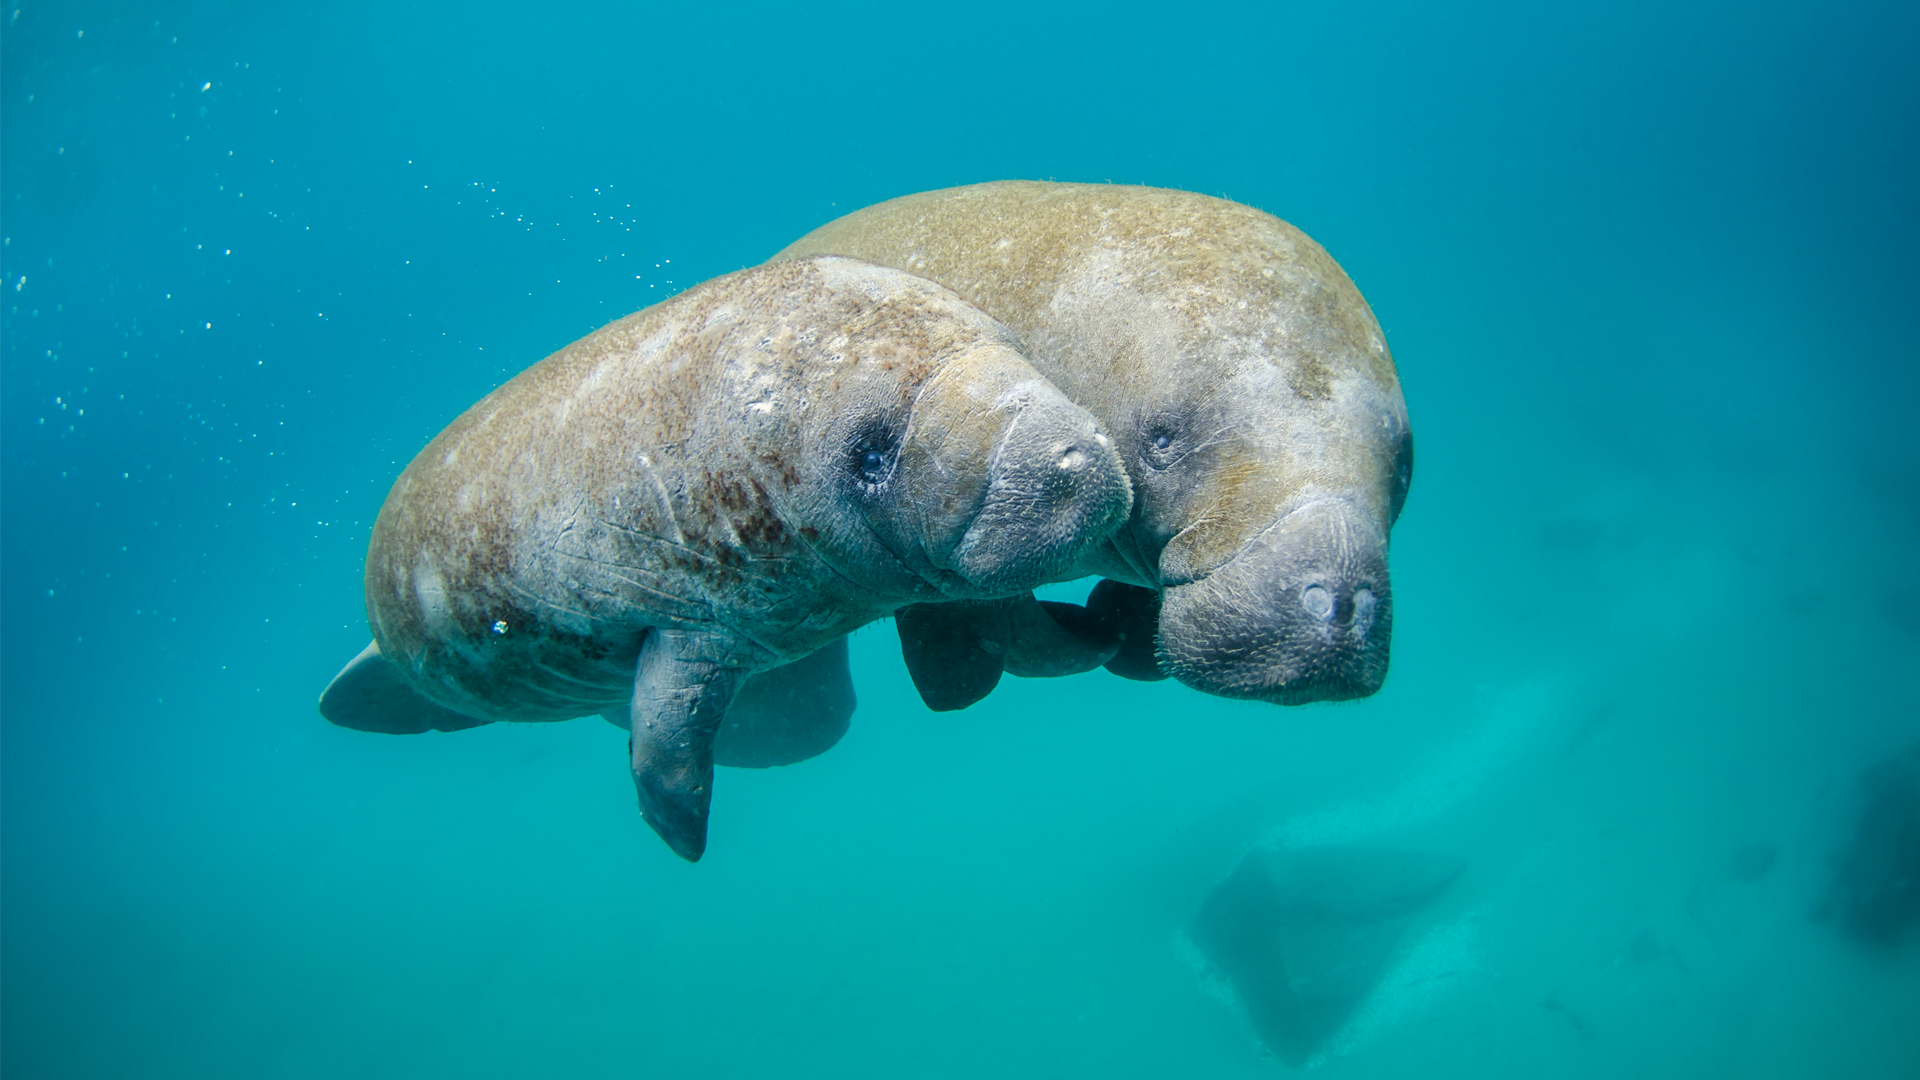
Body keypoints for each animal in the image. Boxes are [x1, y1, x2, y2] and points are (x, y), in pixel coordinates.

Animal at [312, 253, 1121, 857]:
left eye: (1018, 348)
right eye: (869, 455)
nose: (1077, 459)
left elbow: (1017, 632)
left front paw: (1094, 638)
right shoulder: (688, 614)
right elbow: (670, 739)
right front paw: (681, 839)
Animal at [771, 181, 1420, 711]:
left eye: (1405, 469)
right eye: (1162, 441)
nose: (1340, 603)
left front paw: (1121, 633)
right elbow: (1005, 624)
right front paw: (1089, 640)